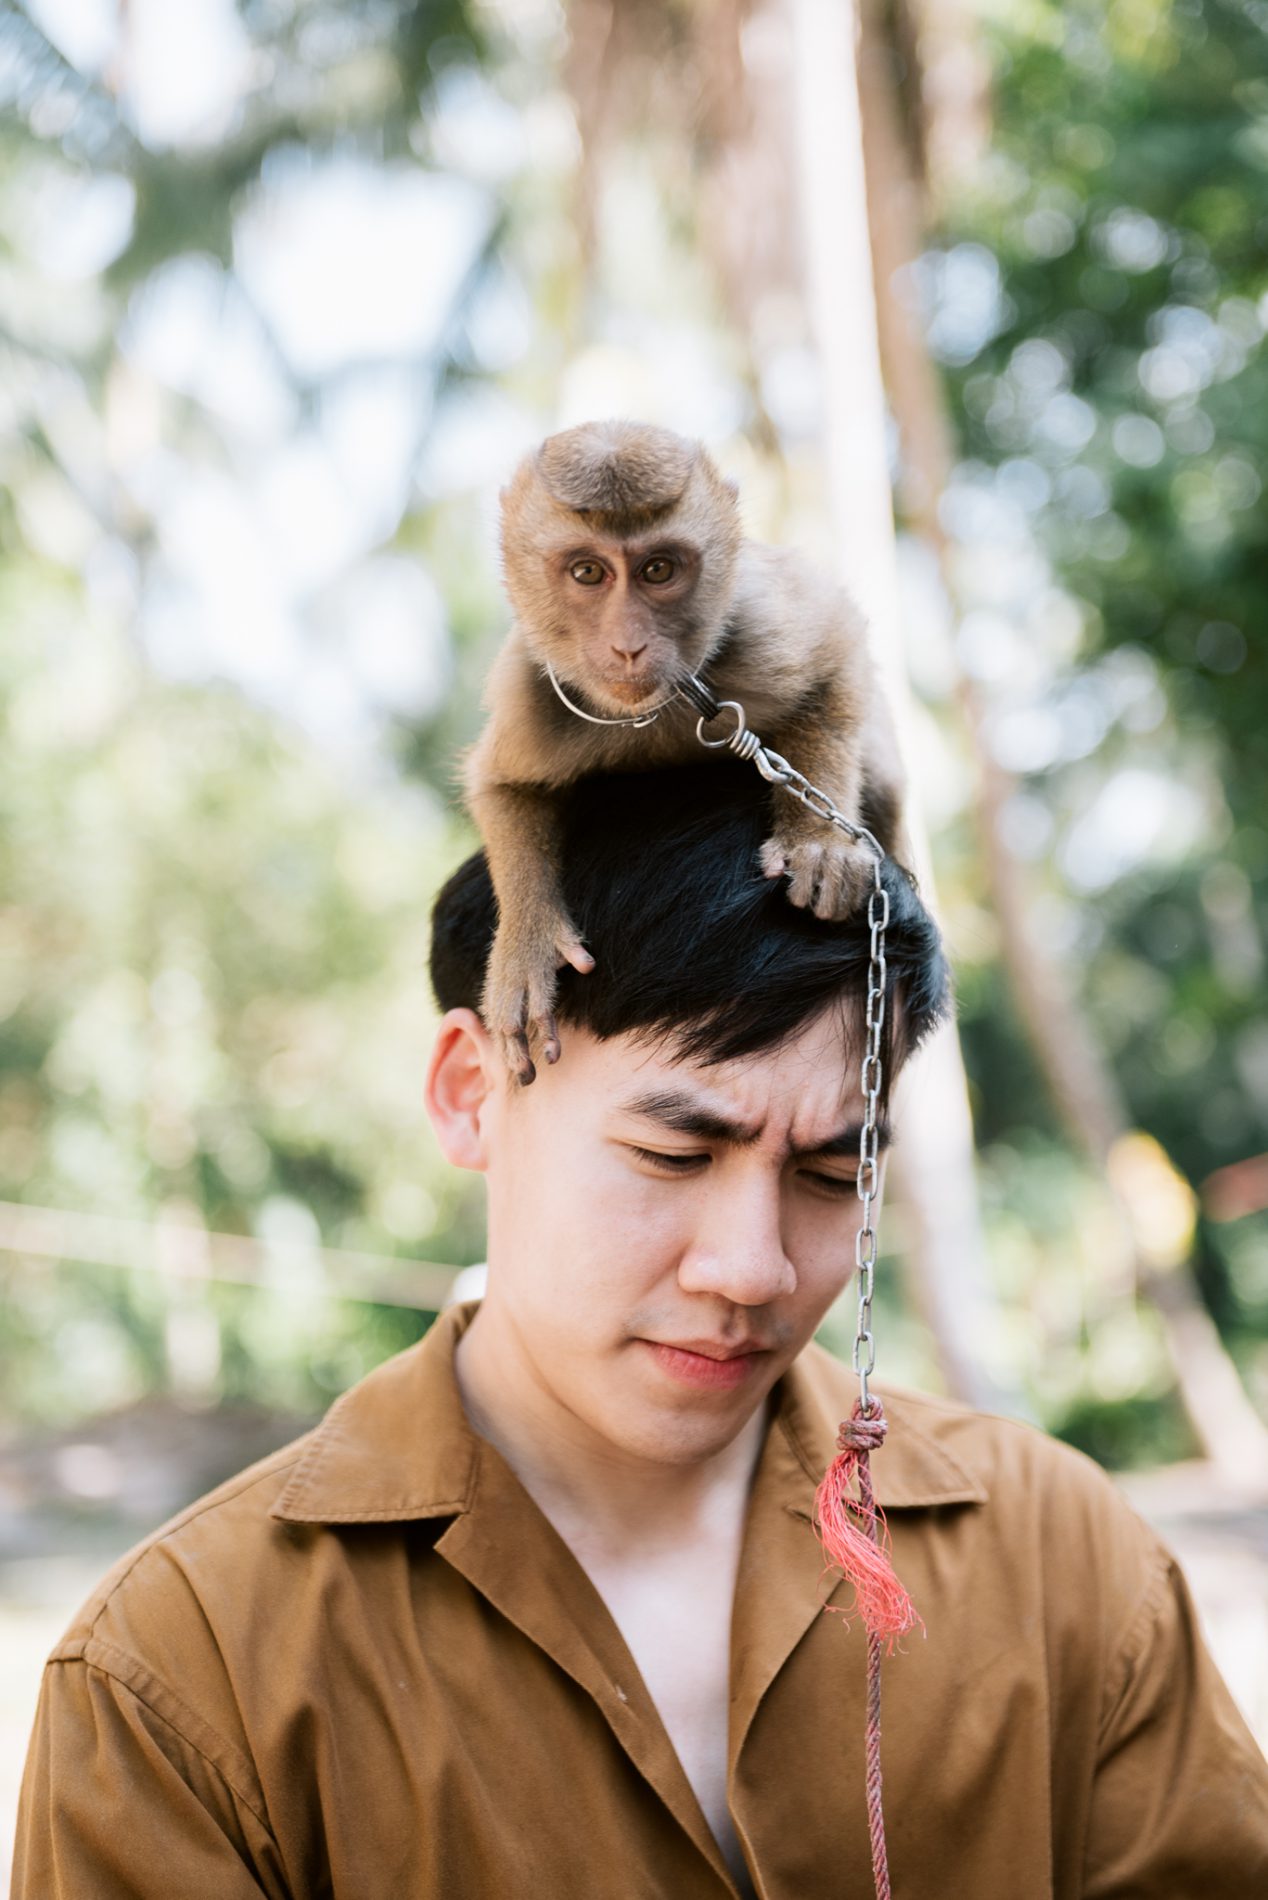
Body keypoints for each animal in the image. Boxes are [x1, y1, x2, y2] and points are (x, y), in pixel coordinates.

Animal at [461, 425, 908, 1094]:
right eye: (588, 572)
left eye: (659, 570)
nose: (628, 646)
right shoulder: (531, 690)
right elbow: (504, 787)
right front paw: (527, 943)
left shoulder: (760, 623)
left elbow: (837, 646)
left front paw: (818, 841)